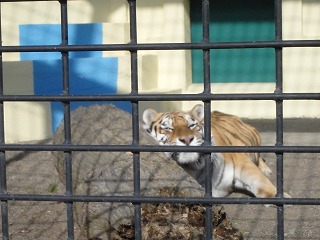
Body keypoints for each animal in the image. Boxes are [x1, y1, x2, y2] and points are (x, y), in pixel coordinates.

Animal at [142, 104, 290, 198]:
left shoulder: (242, 162)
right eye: (168, 128)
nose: (187, 139)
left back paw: (266, 170)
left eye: (192, 125)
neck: (195, 166)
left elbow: (261, 181)